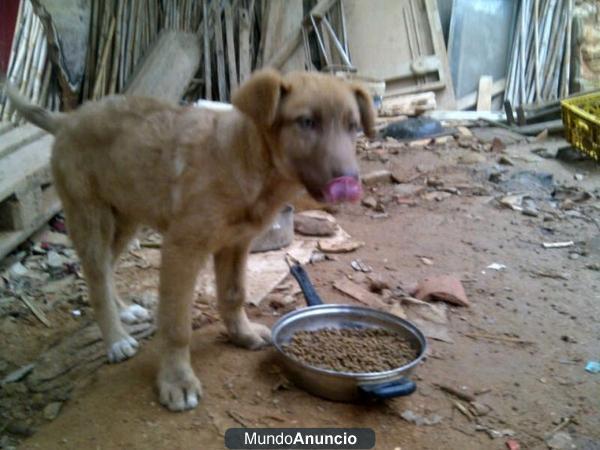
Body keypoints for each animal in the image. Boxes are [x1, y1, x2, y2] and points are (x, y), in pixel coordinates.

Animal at [4, 70, 376, 412]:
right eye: (307, 122)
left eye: (353, 126)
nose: (349, 182)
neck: (245, 161)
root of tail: (68, 118)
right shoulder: (182, 248)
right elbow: (176, 325)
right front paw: (177, 381)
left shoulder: (235, 244)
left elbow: (233, 294)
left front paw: (242, 334)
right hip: (90, 215)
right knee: (95, 276)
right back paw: (116, 339)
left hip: (127, 215)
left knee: (107, 269)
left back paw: (124, 311)